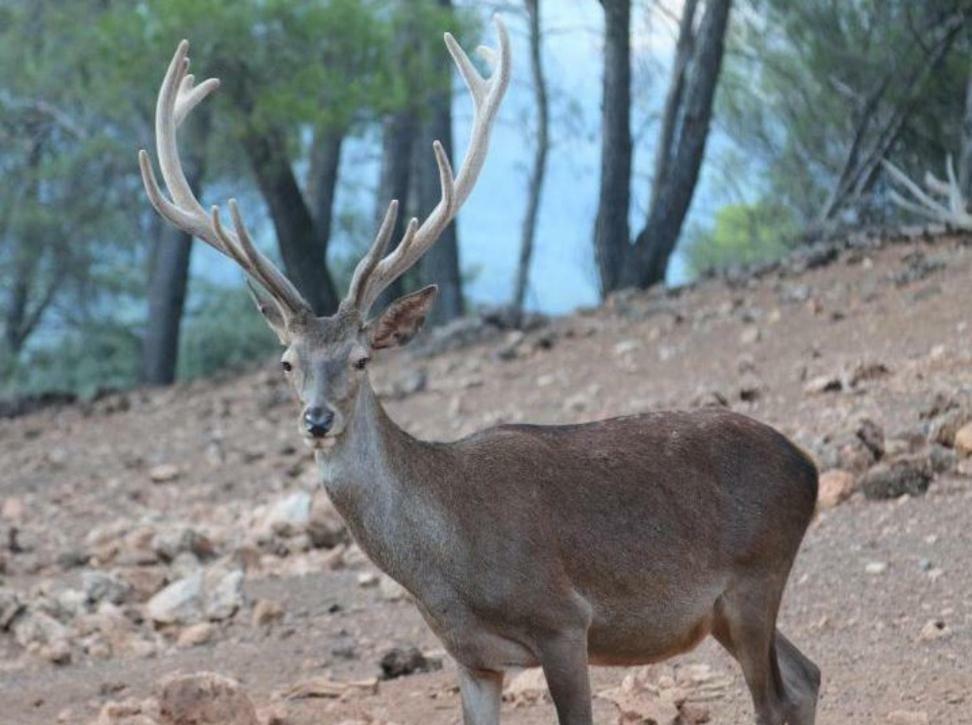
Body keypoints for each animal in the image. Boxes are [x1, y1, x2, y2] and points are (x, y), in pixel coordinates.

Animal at [137, 18, 820, 724]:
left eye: (361, 358)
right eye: (286, 361)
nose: (317, 419)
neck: (447, 568)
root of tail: (809, 468)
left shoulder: (563, 621)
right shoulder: (468, 656)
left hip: (755, 576)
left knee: (777, 697)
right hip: (725, 611)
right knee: (807, 676)